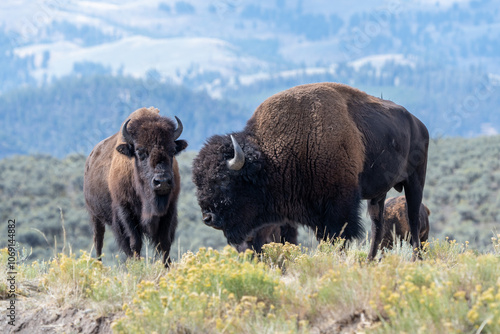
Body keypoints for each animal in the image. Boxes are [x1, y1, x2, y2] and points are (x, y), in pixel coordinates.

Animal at [84, 108, 188, 268]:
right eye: (140, 152)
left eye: (172, 151)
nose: (162, 182)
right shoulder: (125, 212)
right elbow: (134, 243)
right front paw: (136, 268)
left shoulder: (169, 210)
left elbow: (165, 242)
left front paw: (167, 267)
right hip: (95, 216)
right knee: (98, 242)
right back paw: (99, 266)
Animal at [193, 82, 428, 260]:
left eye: (223, 181)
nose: (207, 218)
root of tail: (419, 123)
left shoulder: (339, 206)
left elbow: (339, 236)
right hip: (378, 195)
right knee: (377, 226)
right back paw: (370, 261)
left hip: (415, 180)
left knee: (413, 218)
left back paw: (416, 259)